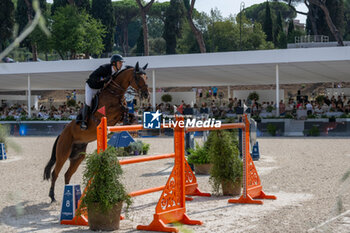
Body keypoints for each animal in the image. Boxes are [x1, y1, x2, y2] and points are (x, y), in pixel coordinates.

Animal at [43, 62, 149, 202]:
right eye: (138, 77)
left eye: (146, 77)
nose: (146, 94)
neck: (115, 93)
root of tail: (62, 134)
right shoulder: (106, 114)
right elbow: (122, 109)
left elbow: (128, 112)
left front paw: (130, 120)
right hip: (63, 153)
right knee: (55, 173)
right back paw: (52, 196)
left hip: (78, 156)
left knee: (67, 174)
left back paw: (72, 197)